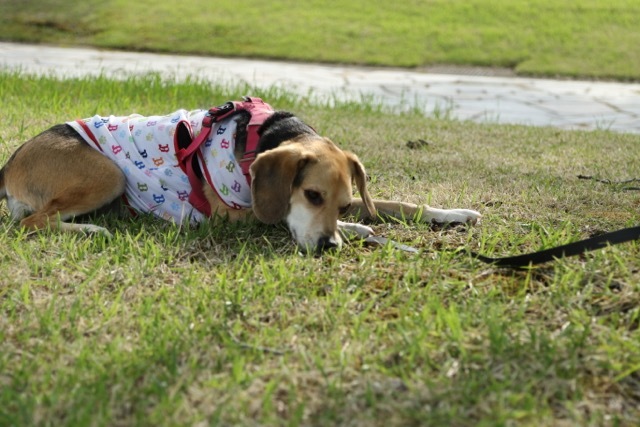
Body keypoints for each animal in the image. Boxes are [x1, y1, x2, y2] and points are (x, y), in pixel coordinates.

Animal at [0, 100, 480, 254]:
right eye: (312, 195)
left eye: (343, 200)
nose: (328, 247)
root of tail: (10, 164)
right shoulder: (233, 216)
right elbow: (291, 217)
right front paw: (360, 230)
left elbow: (398, 204)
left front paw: (453, 213)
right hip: (109, 172)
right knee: (30, 223)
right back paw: (93, 229)